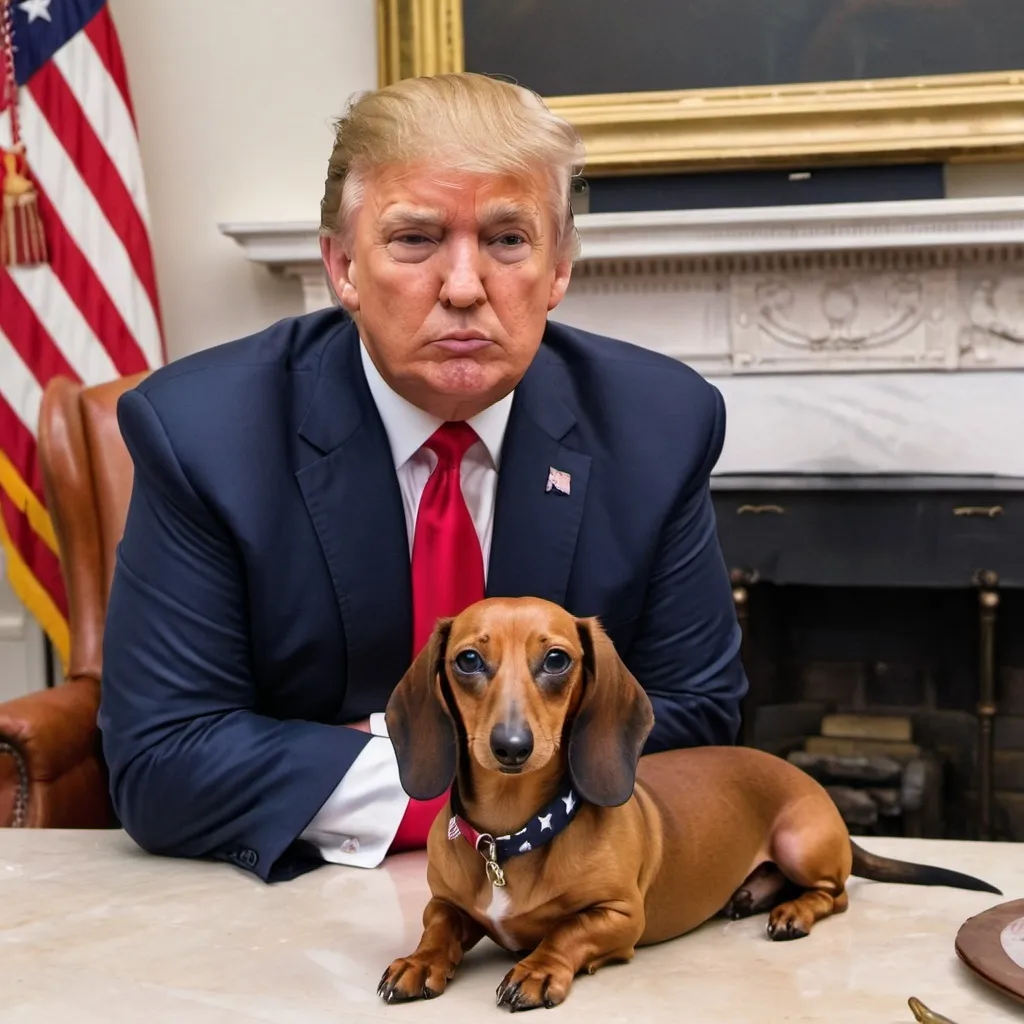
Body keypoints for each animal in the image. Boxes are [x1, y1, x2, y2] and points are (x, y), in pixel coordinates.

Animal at [376, 598, 999, 1011]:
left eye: (556, 660)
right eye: (467, 661)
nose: (511, 747)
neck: (511, 836)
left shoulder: (620, 917)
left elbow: (567, 932)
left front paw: (538, 969)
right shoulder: (445, 902)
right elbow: (439, 924)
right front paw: (420, 962)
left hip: (801, 843)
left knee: (835, 894)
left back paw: (791, 911)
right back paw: (751, 894)